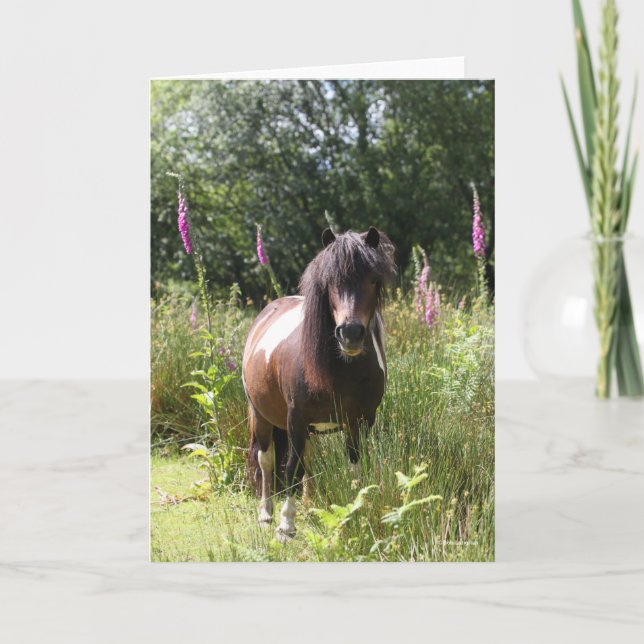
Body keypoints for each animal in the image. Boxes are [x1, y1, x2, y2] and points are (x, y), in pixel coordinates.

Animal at [242, 226, 396, 542]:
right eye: (330, 281)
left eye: (373, 279)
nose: (350, 333)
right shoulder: (296, 419)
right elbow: (291, 467)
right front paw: (286, 525)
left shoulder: (361, 421)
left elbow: (355, 465)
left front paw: (356, 509)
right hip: (262, 416)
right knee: (267, 460)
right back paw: (266, 513)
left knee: (308, 459)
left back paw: (309, 504)